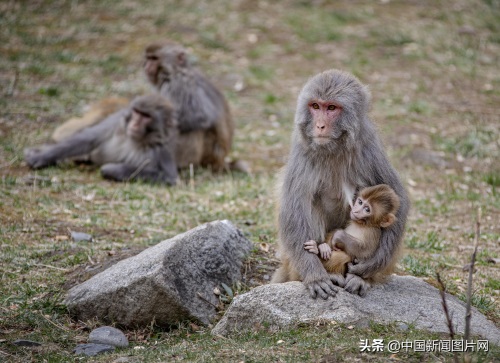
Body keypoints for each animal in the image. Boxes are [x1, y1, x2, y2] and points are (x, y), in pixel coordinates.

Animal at [24, 95, 180, 186]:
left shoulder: (161, 148)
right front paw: (41, 156)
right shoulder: (117, 121)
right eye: (137, 112)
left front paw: (112, 169)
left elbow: (168, 177)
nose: (135, 124)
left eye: (146, 116)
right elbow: (88, 138)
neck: (136, 139)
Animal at [272, 70, 408, 298]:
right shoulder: (303, 152)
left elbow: (398, 196)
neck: (333, 148)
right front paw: (315, 275)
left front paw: (370, 266)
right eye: (315, 106)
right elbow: (294, 210)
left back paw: (360, 278)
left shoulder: (368, 147)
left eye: (331, 108)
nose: (319, 126)